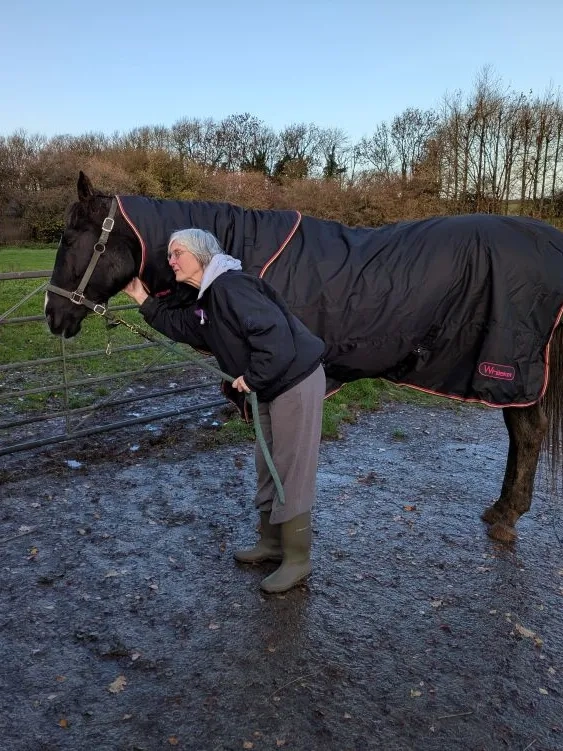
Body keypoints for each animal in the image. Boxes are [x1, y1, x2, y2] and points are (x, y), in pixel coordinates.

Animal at [45, 172, 563, 543]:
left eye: (69, 239)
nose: (52, 314)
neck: (237, 256)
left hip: (513, 370)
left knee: (528, 432)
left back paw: (507, 517)